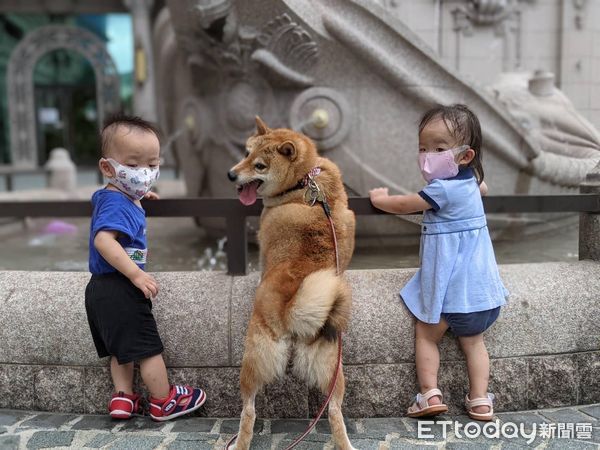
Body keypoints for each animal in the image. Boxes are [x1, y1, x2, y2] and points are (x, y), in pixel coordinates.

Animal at [226, 118, 356, 448]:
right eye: (245, 153)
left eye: (258, 165)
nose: (231, 174)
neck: (304, 182)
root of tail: (291, 311)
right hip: (331, 368)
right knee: (334, 412)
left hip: (253, 358)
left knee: (249, 410)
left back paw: (240, 441)